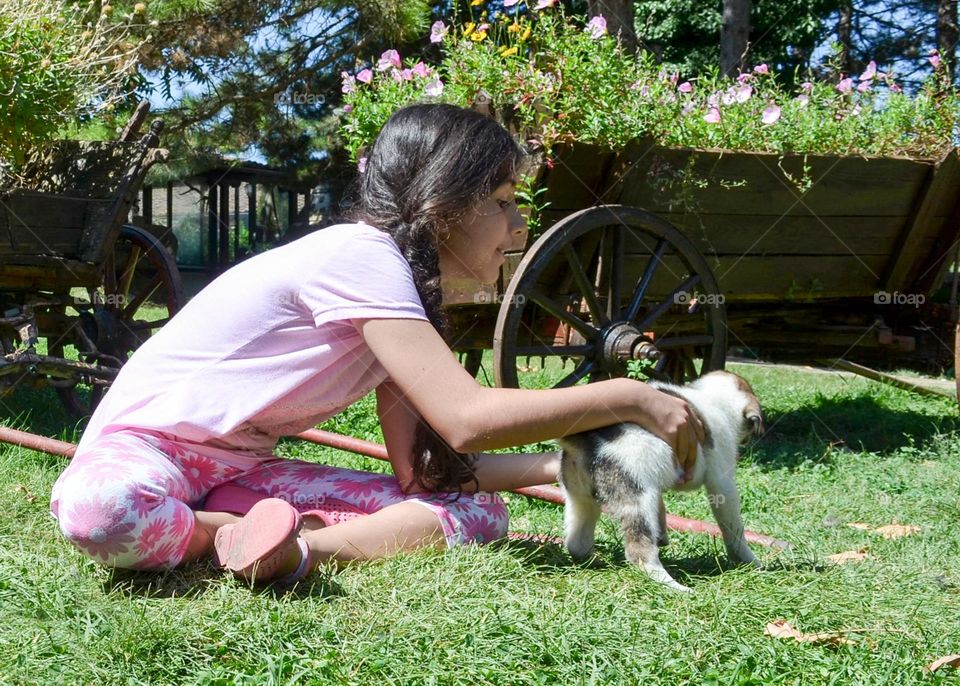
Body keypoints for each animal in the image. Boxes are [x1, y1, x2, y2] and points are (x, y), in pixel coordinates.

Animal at [556, 374, 764, 592]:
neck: (710, 398)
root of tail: (586, 441)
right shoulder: (722, 483)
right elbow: (734, 529)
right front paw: (750, 562)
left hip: (580, 496)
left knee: (576, 543)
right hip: (638, 501)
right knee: (640, 554)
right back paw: (675, 586)